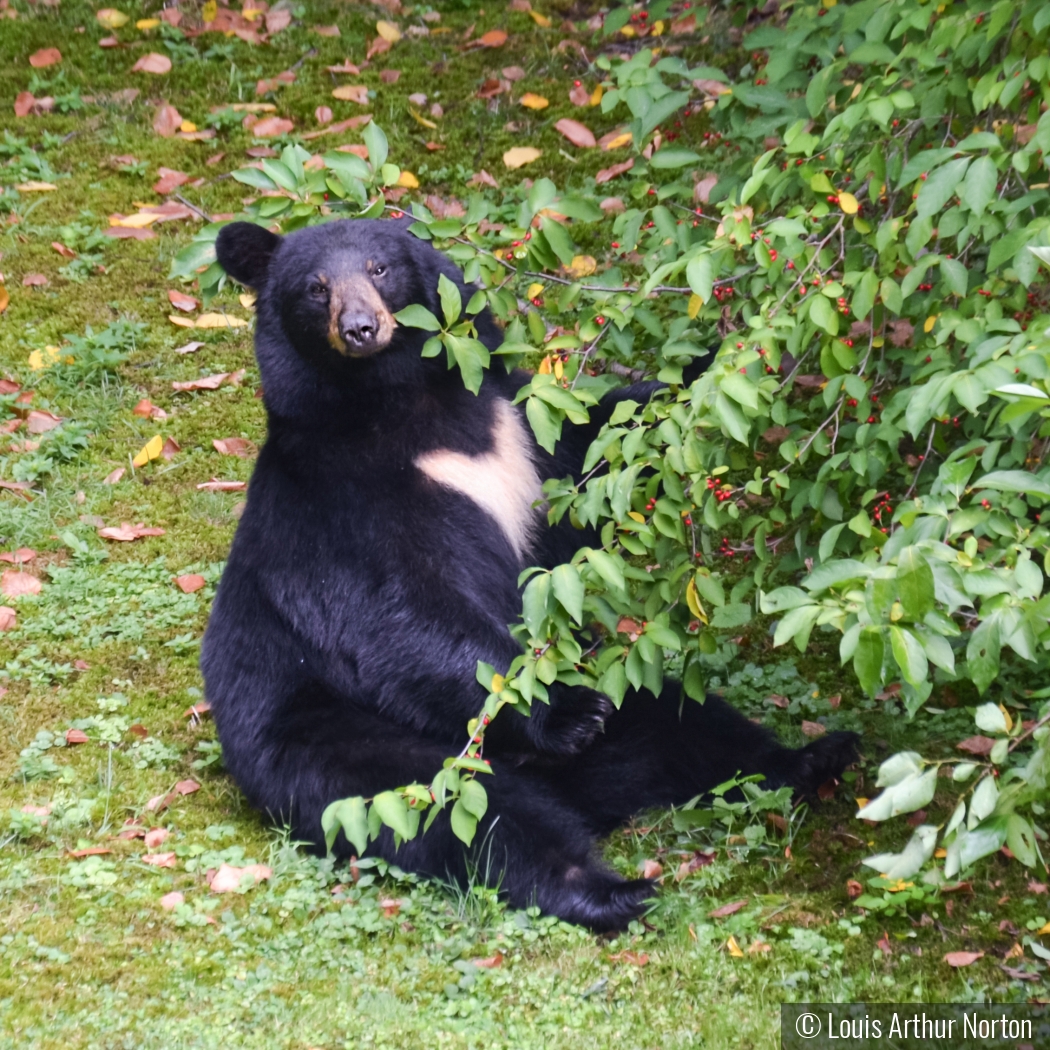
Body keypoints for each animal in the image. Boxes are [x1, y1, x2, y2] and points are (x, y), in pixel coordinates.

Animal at [204, 217, 860, 932]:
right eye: (315, 288)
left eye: (379, 268)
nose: (359, 327)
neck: (398, 402)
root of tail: (582, 792)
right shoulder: (341, 504)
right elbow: (399, 613)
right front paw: (567, 710)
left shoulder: (517, 424)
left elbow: (603, 441)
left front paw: (736, 353)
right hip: (324, 734)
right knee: (466, 812)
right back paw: (607, 887)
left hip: (633, 697)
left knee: (690, 725)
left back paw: (812, 759)